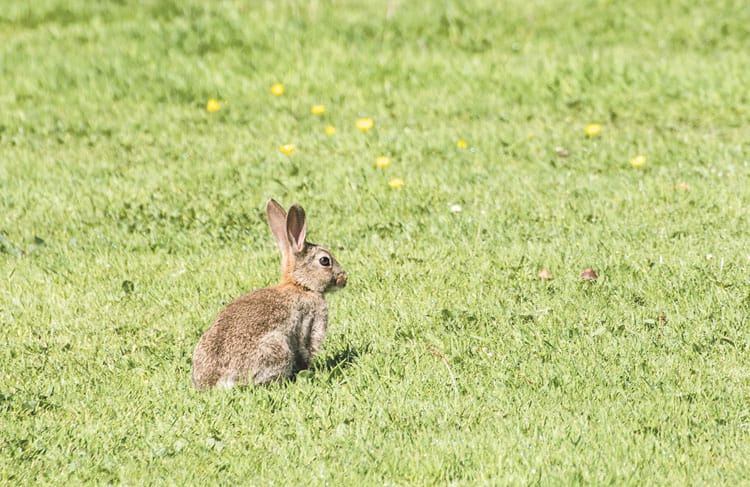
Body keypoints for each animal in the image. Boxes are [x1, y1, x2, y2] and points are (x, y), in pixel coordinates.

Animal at [191, 199, 348, 390]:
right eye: (325, 261)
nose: (344, 279)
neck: (300, 285)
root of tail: (217, 382)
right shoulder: (311, 322)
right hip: (277, 349)